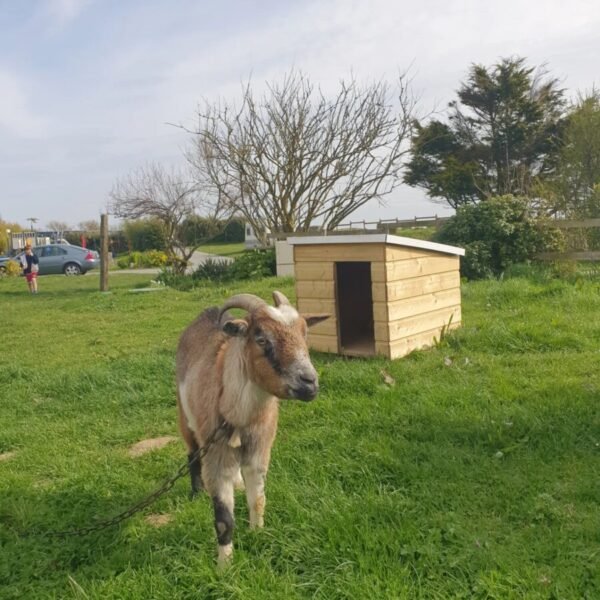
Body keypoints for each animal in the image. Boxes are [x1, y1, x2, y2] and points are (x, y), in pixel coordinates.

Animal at [176, 290, 328, 568]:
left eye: (305, 334)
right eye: (261, 338)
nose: (309, 383)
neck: (238, 415)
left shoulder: (260, 450)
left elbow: (257, 499)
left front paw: (257, 533)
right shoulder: (216, 458)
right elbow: (224, 520)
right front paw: (224, 567)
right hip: (185, 415)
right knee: (191, 452)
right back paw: (196, 492)